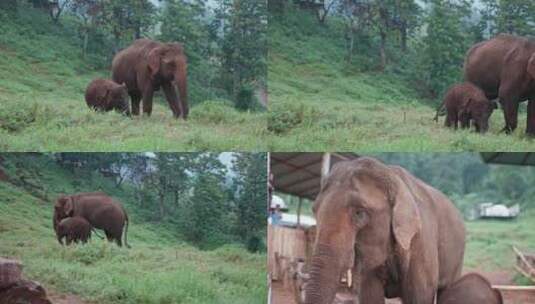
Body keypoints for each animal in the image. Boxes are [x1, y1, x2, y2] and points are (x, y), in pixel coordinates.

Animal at [304, 158, 466, 304]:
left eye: (359, 213)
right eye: (314, 211)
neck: (393, 176)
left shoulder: (421, 243)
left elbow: (419, 297)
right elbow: (370, 294)